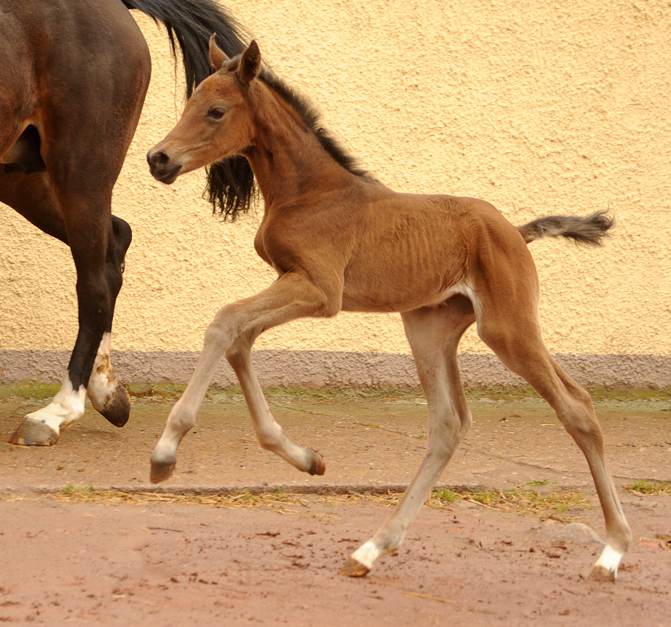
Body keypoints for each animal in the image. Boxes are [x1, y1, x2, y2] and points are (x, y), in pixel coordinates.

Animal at [0, 2, 255, 448]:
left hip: (81, 166)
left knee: (95, 282)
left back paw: (56, 413)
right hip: (20, 173)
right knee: (116, 240)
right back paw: (106, 391)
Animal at [148, 36, 636, 580]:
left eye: (216, 111)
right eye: (190, 103)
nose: (158, 158)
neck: (308, 191)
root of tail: (515, 230)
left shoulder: (320, 290)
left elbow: (224, 323)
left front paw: (165, 452)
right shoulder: (291, 282)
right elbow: (240, 341)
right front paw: (306, 458)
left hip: (508, 328)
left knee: (577, 407)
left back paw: (612, 551)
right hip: (431, 328)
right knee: (449, 424)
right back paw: (371, 548)